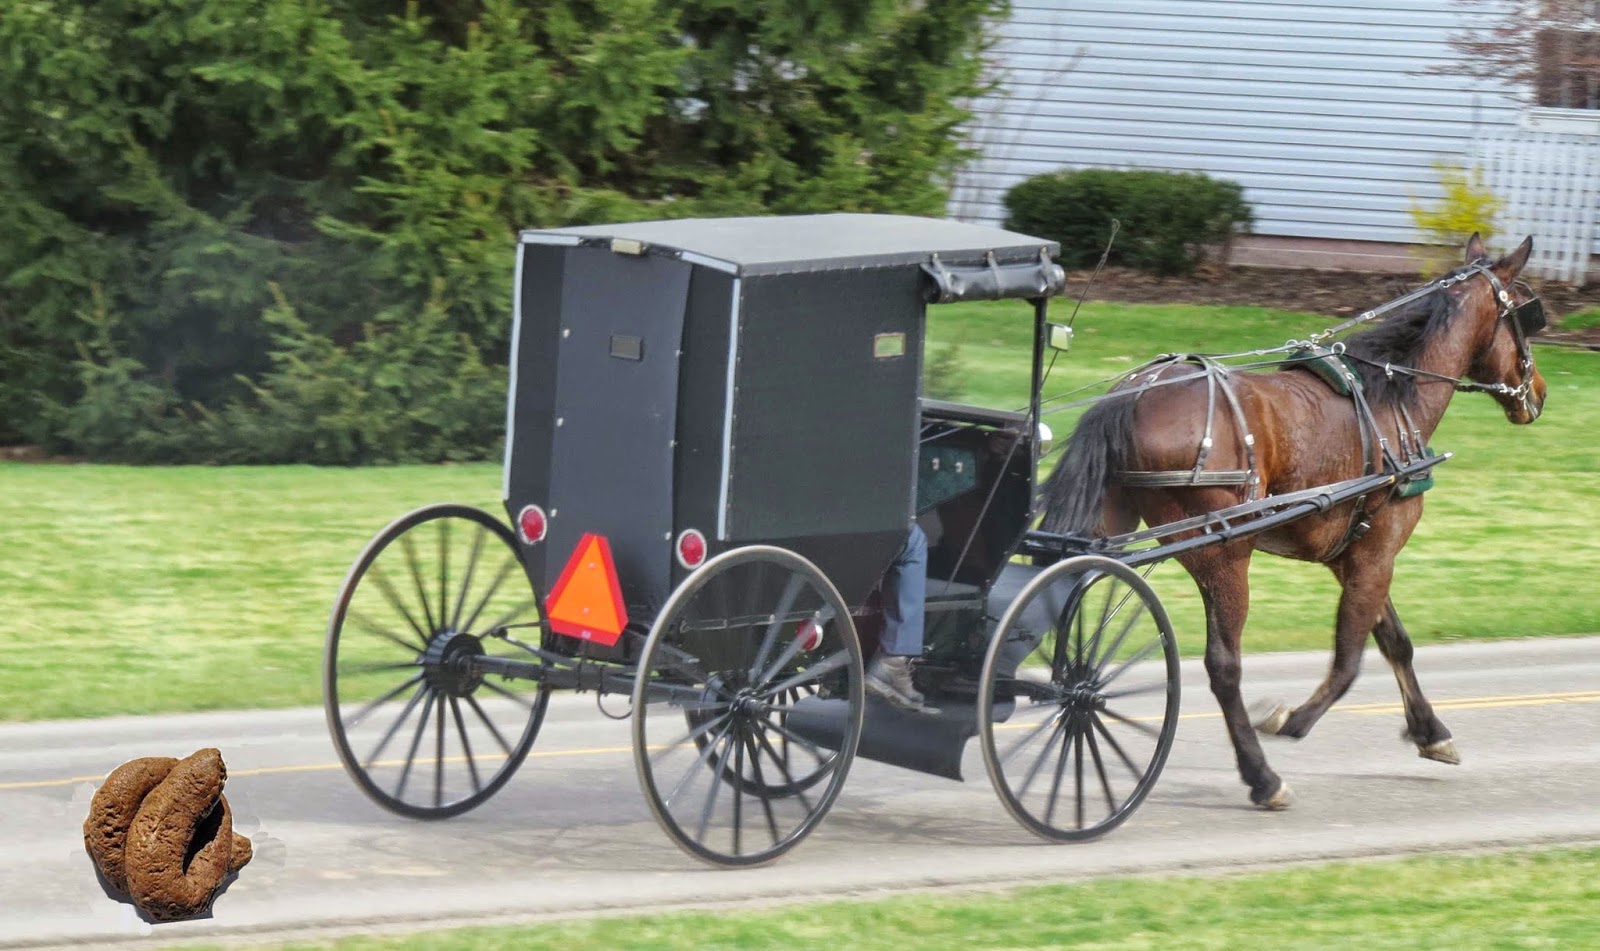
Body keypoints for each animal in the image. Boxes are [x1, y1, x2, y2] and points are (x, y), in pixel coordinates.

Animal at [1037, 234, 1548, 809]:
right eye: (1527, 311)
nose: (1539, 392)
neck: (1393, 399)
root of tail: (1132, 396)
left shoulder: (1353, 552)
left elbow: (1394, 641)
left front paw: (1430, 731)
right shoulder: (1377, 553)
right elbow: (1349, 659)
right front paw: (1291, 720)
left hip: (1108, 527)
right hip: (1221, 553)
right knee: (1224, 665)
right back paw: (1262, 776)